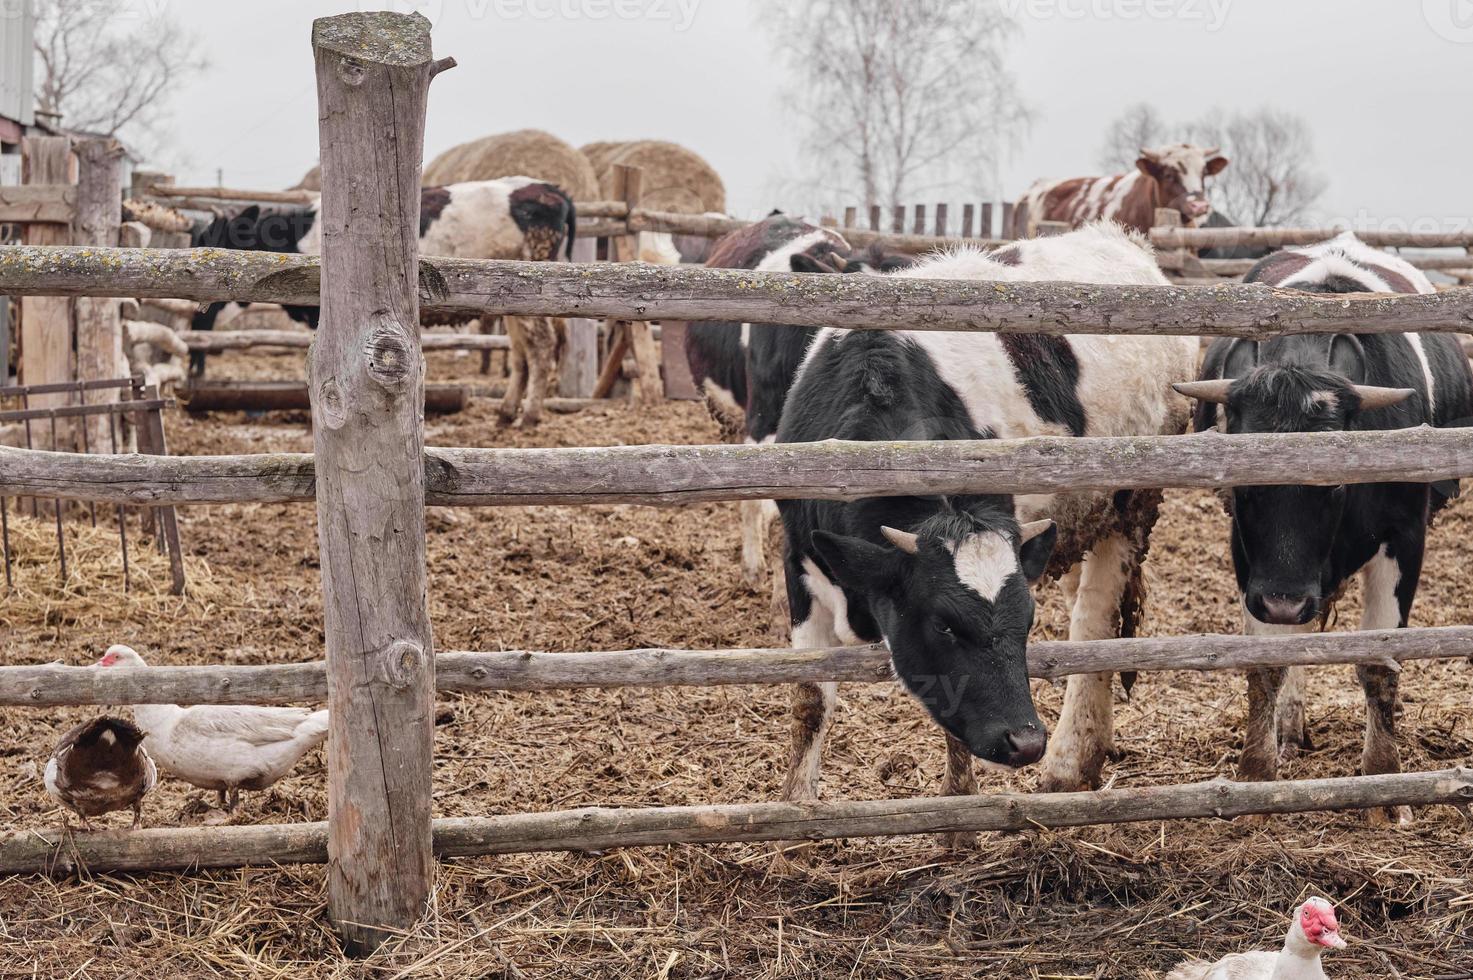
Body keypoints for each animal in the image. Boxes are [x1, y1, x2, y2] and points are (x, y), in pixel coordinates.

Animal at [771, 224, 1196, 801]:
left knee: (1095, 620)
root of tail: (1122, 241)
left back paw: (1070, 763)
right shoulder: (799, 559)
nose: (1026, 740)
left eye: (1028, 621)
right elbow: (811, 698)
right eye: (944, 624)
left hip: (1131, 506)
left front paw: (958, 803)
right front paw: (796, 807)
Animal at [1178, 232, 1473, 819]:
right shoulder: (1250, 562)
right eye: (1242, 485)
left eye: (1335, 483)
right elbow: (1267, 665)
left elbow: (1378, 664)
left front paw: (1384, 782)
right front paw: (1256, 771)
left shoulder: (1405, 540)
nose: (1284, 602)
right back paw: (1290, 729)